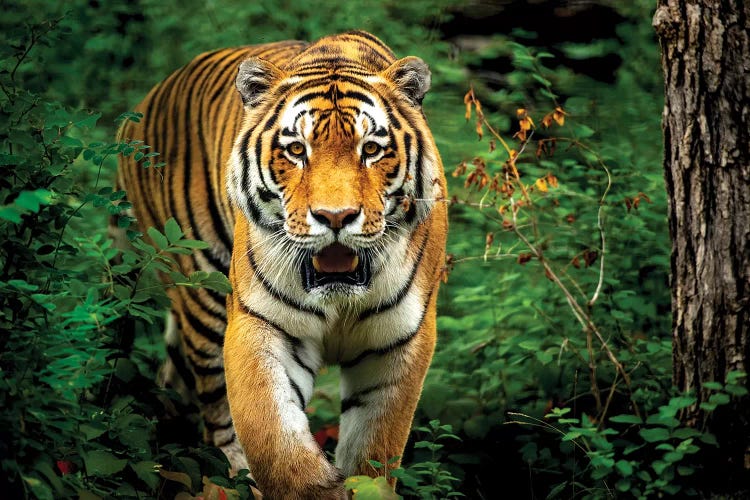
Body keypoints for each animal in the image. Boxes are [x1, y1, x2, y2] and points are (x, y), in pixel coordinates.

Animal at [117, 30, 446, 496]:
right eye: (295, 150)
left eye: (371, 149)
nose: (335, 217)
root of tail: (145, 102)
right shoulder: (260, 323)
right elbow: (273, 437)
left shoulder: (400, 340)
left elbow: (374, 451)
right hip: (202, 295)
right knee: (217, 421)